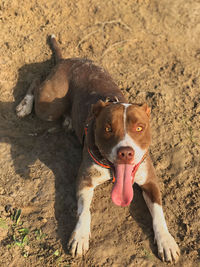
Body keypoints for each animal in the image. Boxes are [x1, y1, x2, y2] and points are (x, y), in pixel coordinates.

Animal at [16, 36, 180, 264]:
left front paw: (166, 241)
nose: (125, 152)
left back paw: (67, 120)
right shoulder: (84, 180)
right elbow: (84, 211)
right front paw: (80, 236)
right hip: (48, 107)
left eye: (139, 128)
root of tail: (66, 60)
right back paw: (24, 106)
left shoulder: (150, 181)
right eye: (108, 128)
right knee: (35, 82)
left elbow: (158, 212)